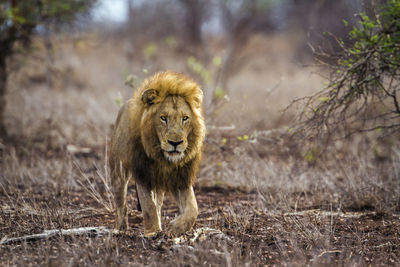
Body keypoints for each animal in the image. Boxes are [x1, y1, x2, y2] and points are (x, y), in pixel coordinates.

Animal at [108, 70, 205, 237]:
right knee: (121, 204)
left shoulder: (181, 178)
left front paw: (175, 228)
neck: (164, 160)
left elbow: (193, 209)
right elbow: (148, 207)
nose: (175, 143)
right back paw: (120, 229)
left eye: (185, 118)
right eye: (163, 118)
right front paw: (152, 232)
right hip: (118, 171)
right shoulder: (143, 174)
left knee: (158, 203)